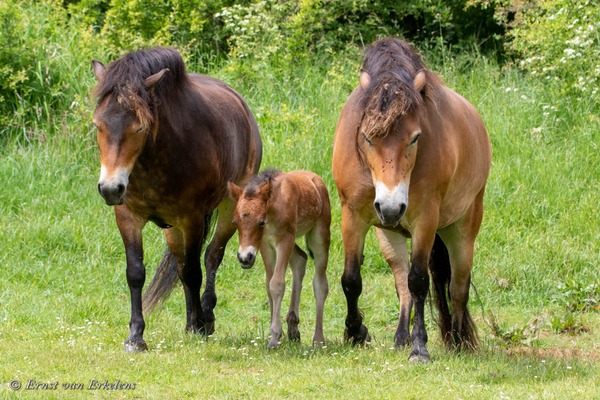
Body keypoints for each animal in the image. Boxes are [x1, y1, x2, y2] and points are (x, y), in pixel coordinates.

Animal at [92, 47, 262, 352]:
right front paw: (136, 336)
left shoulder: (191, 219)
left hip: (229, 208)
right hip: (172, 229)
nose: (111, 188)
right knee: (182, 266)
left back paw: (205, 316)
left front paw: (198, 324)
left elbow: (195, 271)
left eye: (139, 128)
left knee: (211, 257)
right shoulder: (128, 218)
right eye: (98, 124)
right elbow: (136, 273)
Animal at [227, 170, 330, 348]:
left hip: (319, 236)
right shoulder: (264, 244)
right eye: (235, 222)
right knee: (300, 259)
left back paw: (318, 339)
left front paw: (274, 337)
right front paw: (274, 333)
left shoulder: (285, 240)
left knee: (320, 284)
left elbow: (277, 284)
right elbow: (269, 284)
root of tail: (316, 178)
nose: (244, 258)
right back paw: (293, 327)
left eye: (261, 222)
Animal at [332, 38, 492, 362]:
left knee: (458, 287)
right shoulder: (352, 215)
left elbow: (419, 281)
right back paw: (401, 337)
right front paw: (356, 333)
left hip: (462, 229)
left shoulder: (425, 220)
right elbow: (351, 280)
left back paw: (457, 340)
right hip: (389, 234)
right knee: (400, 279)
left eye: (415, 137)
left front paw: (420, 347)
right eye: (367, 137)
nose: (391, 207)